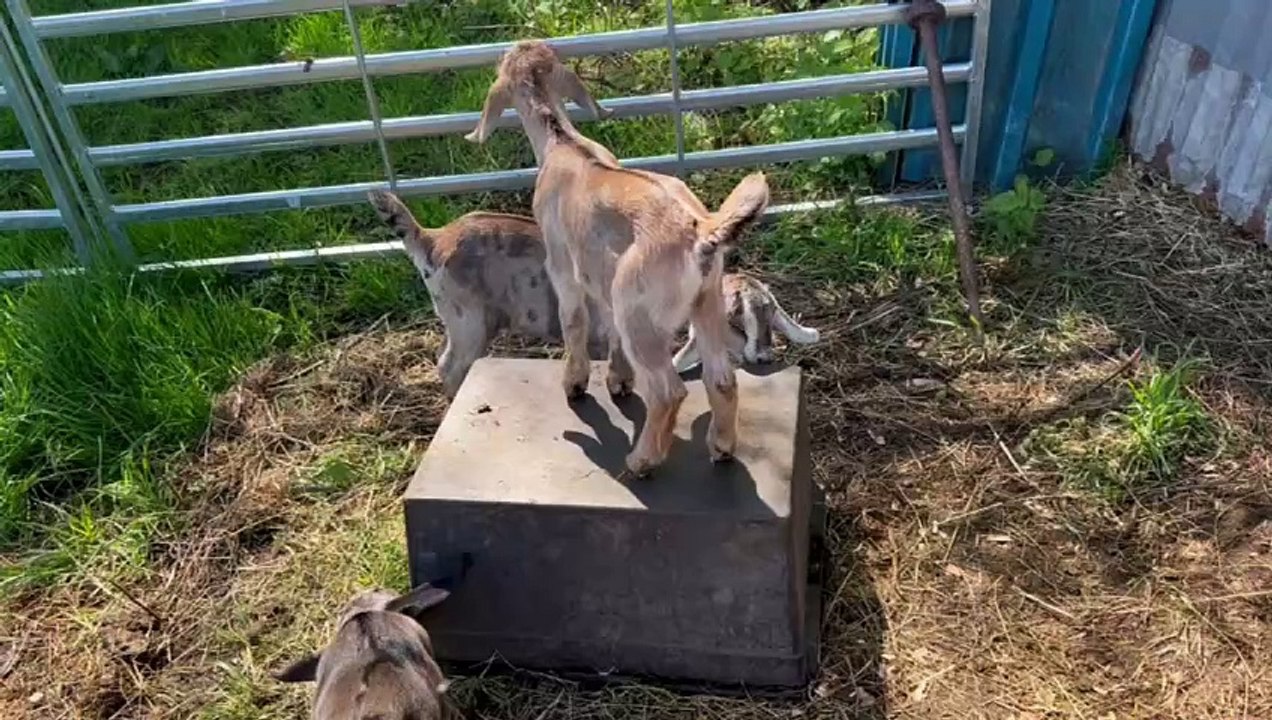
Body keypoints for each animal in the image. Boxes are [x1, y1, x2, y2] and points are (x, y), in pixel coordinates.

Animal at [466, 40, 770, 476]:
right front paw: (618, 380)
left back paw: (641, 460)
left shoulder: (562, 265)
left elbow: (574, 320)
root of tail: (700, 232)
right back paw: (722, 448)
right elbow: (607, 327)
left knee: (668, 390)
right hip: (706, 300)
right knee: (722, 378)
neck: (563, 144)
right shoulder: (601, 275)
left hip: (639, 311)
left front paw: (575, 383)